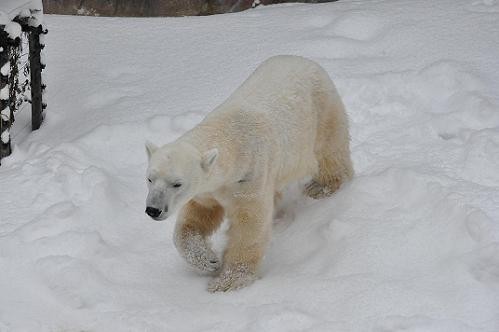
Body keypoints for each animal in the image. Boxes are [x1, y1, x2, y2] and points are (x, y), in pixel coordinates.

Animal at [146, 55, 356, 292]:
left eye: (177, 183)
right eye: (149, 179)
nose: (153, 210)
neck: (229, 137)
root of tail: (303, 60)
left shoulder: (249, 175)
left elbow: (249, 224)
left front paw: (227, 282)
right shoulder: (210, 190)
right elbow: (197, 216)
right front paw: (208, 260)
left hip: (321, 112)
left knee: (329, 150)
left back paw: (322, 186)